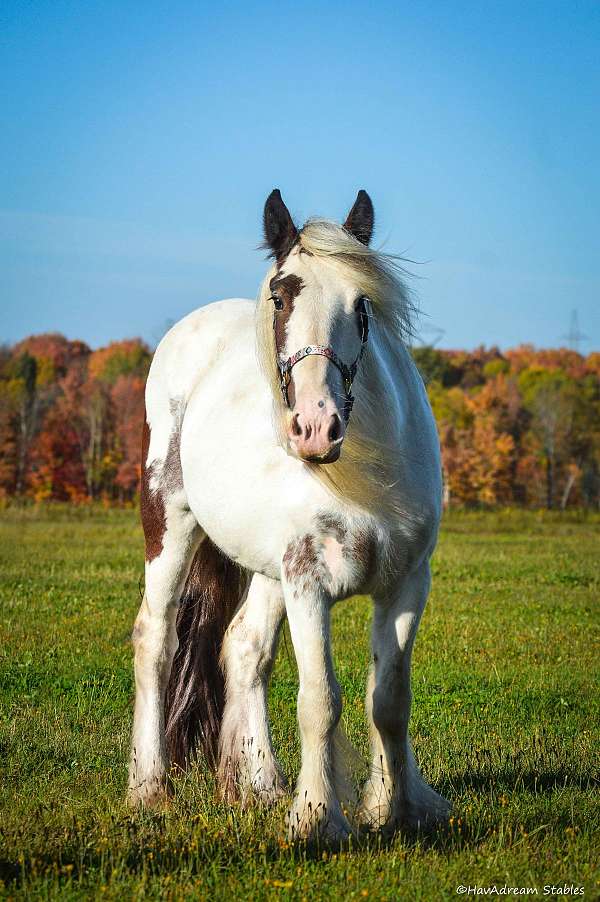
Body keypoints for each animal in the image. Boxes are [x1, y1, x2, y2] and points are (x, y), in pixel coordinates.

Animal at [127, 189, 451, 842]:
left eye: (361, 303)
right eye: (280, 295)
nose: (316, 427)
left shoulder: (407, 584)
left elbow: (389, 702)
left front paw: (397, 810)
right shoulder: (308, 582)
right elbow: (320, 700)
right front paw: (317, 818)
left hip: (266, 568)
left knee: (244, 648)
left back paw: (259, 785)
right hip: (170, 524)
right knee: (156, 638)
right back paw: (148, 790)